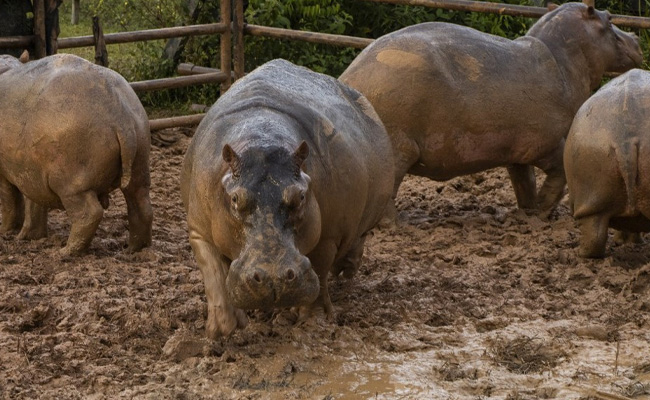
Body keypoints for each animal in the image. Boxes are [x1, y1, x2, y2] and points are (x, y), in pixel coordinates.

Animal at [0, 53, 152, 255]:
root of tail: (120, 116)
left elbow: (10, 201)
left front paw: (5, 232)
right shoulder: (31, 171)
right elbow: (34, 204)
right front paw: (29, 236)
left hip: (70, 183)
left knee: (89, 213)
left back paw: (64, 252)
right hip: (140, 161)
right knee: (141, 205)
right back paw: (132, 250)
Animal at [181, 59, 394, 338]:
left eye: (301, 196)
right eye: (235, 199)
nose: (274, 278)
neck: (261, 138)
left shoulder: (328, 235)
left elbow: (319, 271)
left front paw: (314, 321)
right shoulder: (199, 230)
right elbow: (214, 274)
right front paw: (223, 330)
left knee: (356, 239)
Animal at [339, 2, 642, 218]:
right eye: (609, 19)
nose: (637, 36)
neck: (563, 59)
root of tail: (348, 79)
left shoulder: (517, 151)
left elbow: (523, 182)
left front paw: (528, 213)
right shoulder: (547, 143)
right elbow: (560, 172)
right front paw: (543, 211)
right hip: (398, 148)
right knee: (387, 193)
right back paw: (394, 224)